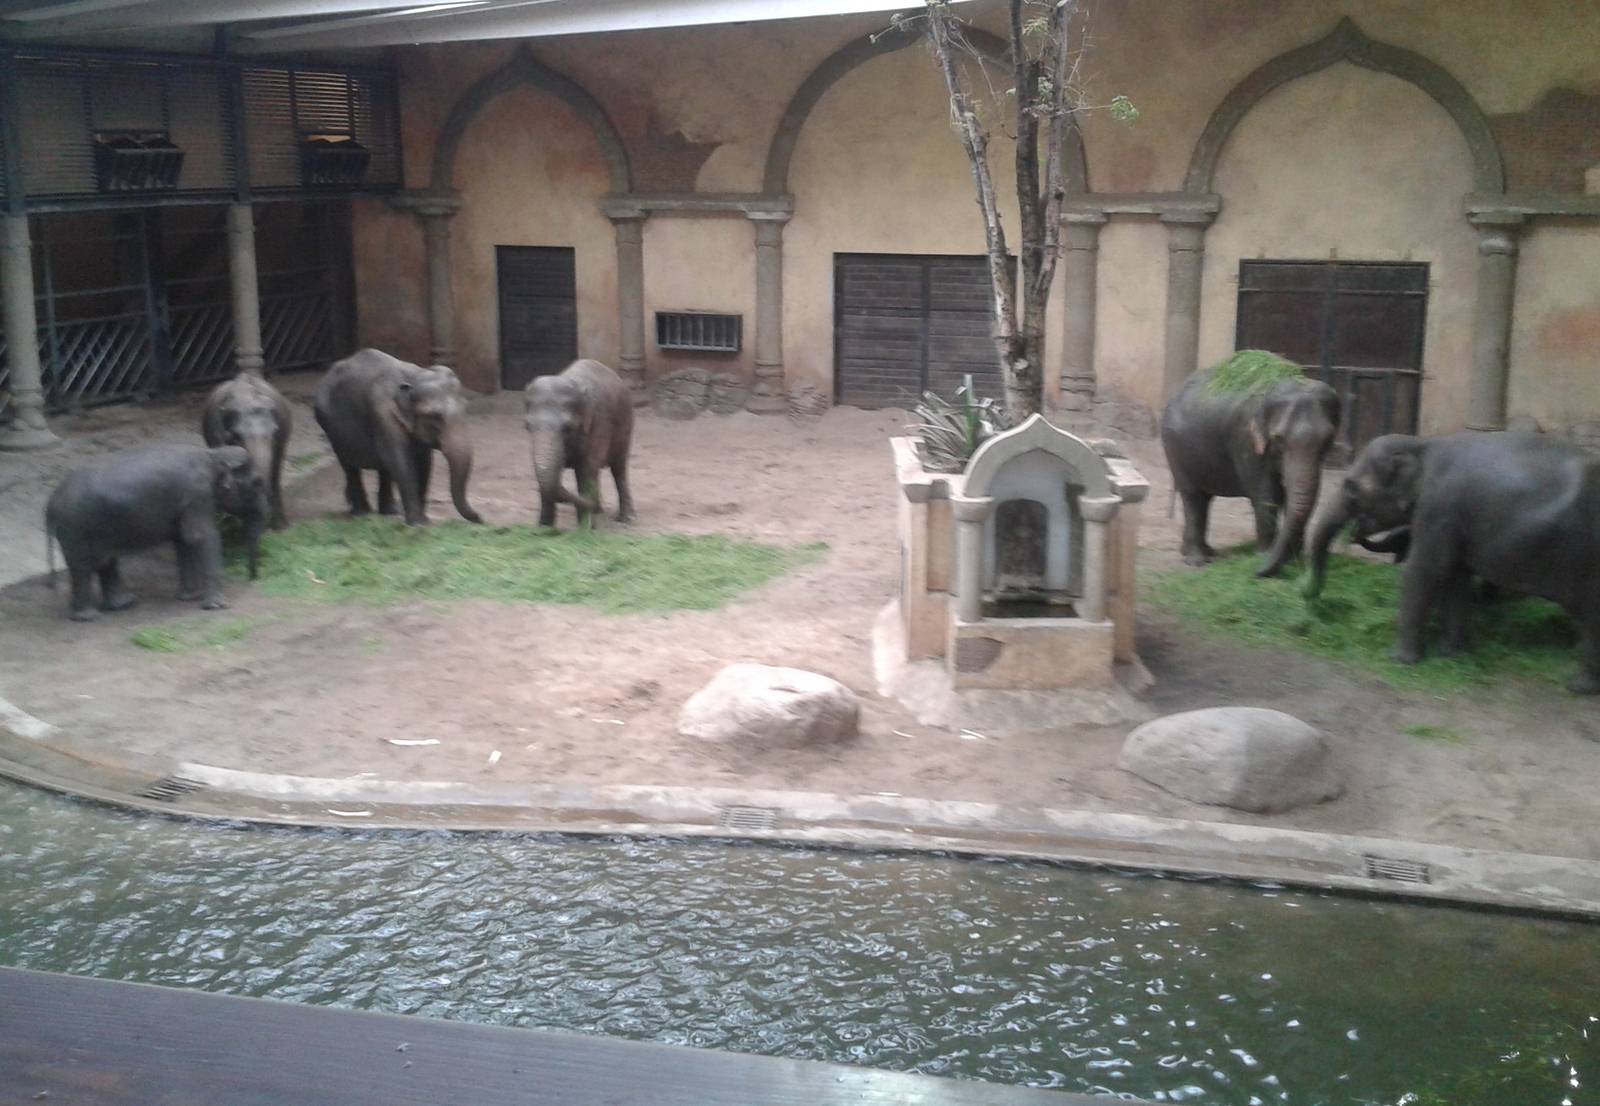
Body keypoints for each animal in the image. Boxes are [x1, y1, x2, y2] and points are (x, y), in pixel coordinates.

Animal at [46, 444, 266, 621]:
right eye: (256, 483)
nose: (253, 579)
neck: (213, 453)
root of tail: (50, 504)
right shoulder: (198, 496)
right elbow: (202, 537)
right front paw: (217, 606)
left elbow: (183, 540)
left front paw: (190, 597)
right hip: (76, 528)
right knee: (83, 566)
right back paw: (88, 616)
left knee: (105, 561)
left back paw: (122, 604)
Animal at [314, 348, 482, 526]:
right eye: (434, 416)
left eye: (466, 409)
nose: (480, 518)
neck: (415, 375)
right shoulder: (383, 415)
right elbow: (402, 462)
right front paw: (418, 524)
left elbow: (424, 463)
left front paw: (423, 521)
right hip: (329, 426)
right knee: (350, 466)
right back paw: (362, 514)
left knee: (384, 468)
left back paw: (389, 512)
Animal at [525, 358, 635, 529]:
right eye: (527, 426)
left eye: (567, 428)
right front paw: (543, 528)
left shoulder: (598, 424)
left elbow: (586, 470)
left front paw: (586, 528)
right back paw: (598, 510)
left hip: (625, 423)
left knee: (618, 469)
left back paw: (626, 519)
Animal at [1160, 365, 1341, 577]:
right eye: (1278, 438)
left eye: (1328, 439)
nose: (1254, 571)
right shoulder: (1245, 439)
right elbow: (1265, 496)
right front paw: (1264, 556)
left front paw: (1296, 562)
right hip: (1175, 449)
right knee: (1193, 497)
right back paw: (1197, 560)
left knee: (1205, 498)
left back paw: (1204, 552)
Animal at [1305, 431, 1600, 693]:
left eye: (1351, 488)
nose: (1311, 597)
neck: (1421, 444)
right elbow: (1456, 578)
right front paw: (1452, 655)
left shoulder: (1438, 508)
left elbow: (1425, 570)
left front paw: (1400, 660)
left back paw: (1578, 687)